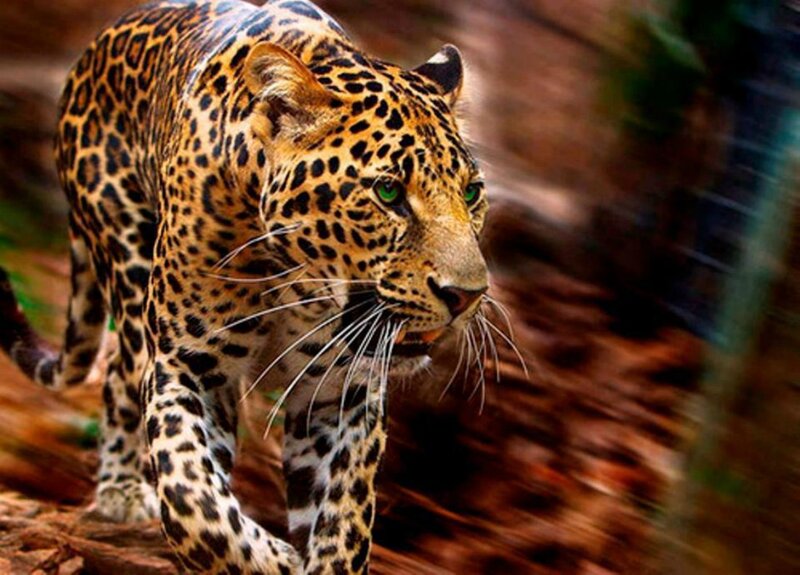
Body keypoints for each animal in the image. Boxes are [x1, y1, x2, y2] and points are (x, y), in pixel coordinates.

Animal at [0, 0, 489, 573]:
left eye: (472, 193)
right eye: (388, 192)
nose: (467, 295)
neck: (295, 282)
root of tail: (95, 48)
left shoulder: (340, 393)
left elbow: (345, 517)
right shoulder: (189, 368)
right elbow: (193, 500)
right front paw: (275, 560)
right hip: (127, 260)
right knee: (120, 373)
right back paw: (120, 491)